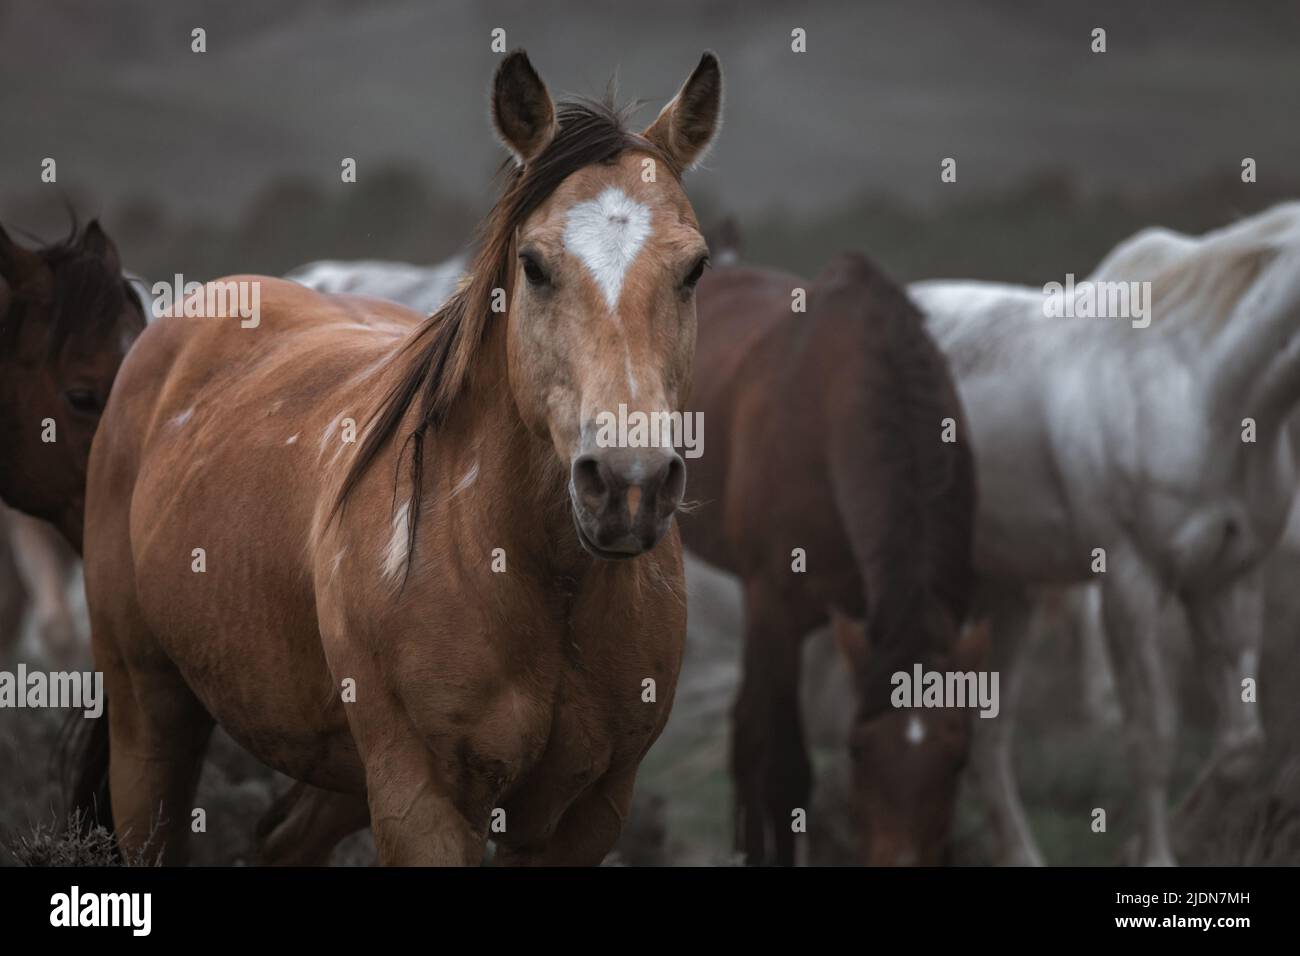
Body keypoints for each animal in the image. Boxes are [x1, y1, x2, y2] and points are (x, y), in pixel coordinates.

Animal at [76, 49, 722, 865]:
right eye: (535, 265)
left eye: (694, 269)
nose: (627, 485)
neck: (534, 577)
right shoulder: (422, 804)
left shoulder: (586, 816)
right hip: (150, 718)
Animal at [910, 202, 1300, 865]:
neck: (1205, 388)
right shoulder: (1130, 582)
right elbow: (1153, 738)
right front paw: (1155, 854)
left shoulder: (1227, 581)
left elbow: (1240, 746)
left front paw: (1160, 839)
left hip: (1006, 593)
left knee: (985, 737)